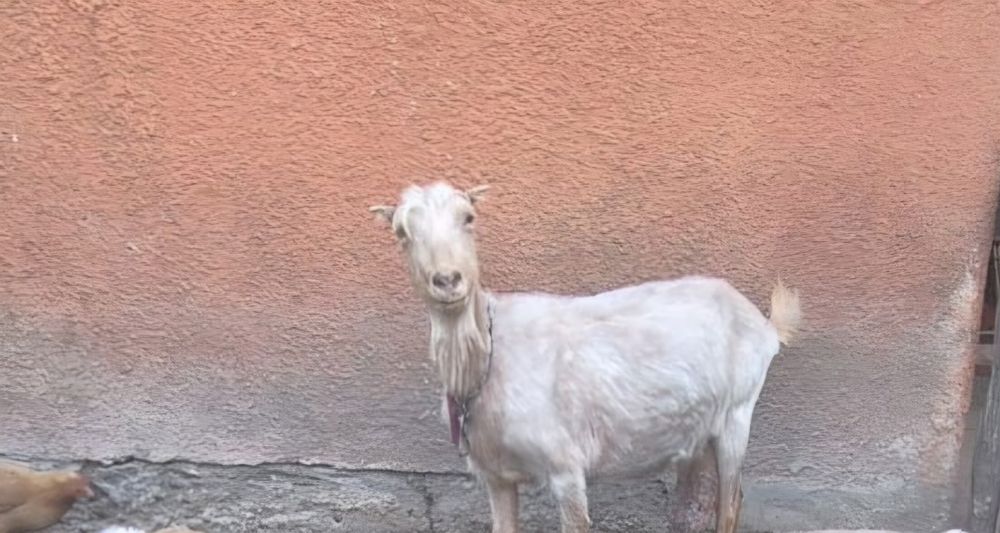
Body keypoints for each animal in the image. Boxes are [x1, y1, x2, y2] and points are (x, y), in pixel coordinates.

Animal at [370, 181, 801, 533]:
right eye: (402, 233)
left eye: (469, 218)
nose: (447, 280)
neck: (490, 356)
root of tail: (764, 323)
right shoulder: (494, 475)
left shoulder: (565, 466)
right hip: (695, 430)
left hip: (738, 412)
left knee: (730, 504)